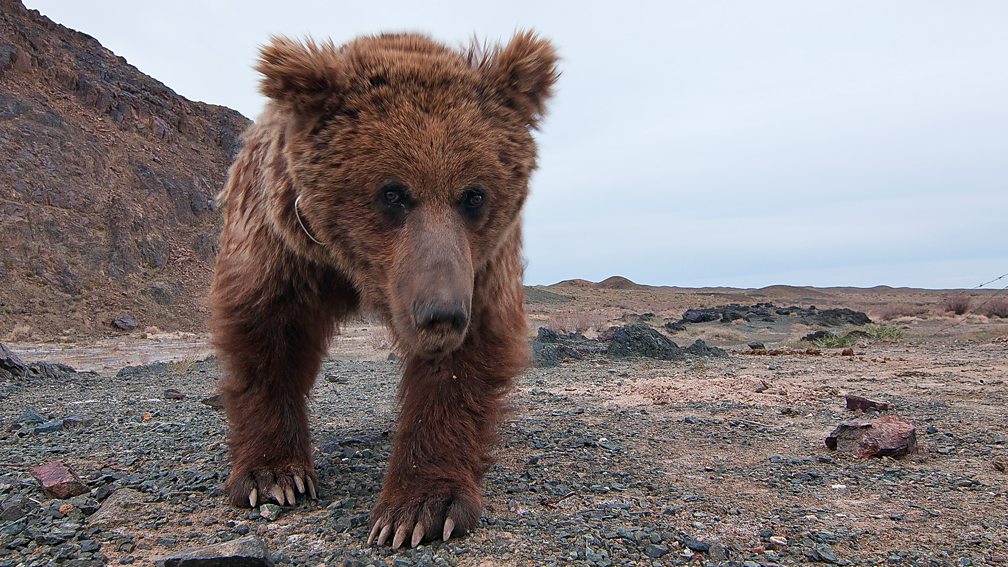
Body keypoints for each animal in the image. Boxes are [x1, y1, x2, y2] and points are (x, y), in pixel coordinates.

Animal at [208, 32, 560, 548]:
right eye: (392, 193)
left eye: (474, 195)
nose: (441, 312)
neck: (350, 267)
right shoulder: (280, 244)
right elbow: (266, 335)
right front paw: (273, 476)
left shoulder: (480, 264)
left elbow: (464, 360)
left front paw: (418, 510)